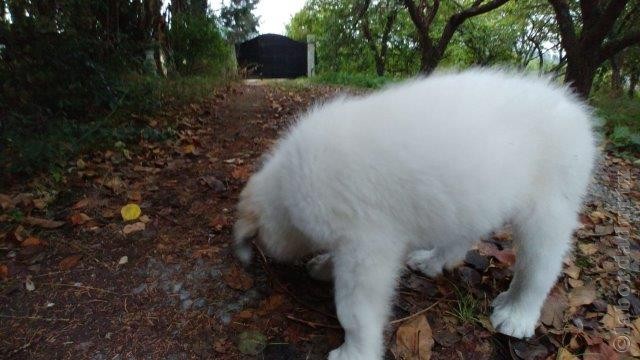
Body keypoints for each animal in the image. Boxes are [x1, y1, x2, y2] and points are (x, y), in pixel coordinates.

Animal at [234, 69, 596, 360]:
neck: (286, 186)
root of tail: (575, 110)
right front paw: (325, 266)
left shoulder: (367, 251)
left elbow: (354, 310)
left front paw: (356, 352)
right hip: (471, 199)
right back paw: (433, 261)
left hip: (547, 212)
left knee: (541, 267)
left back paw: (518, 313)